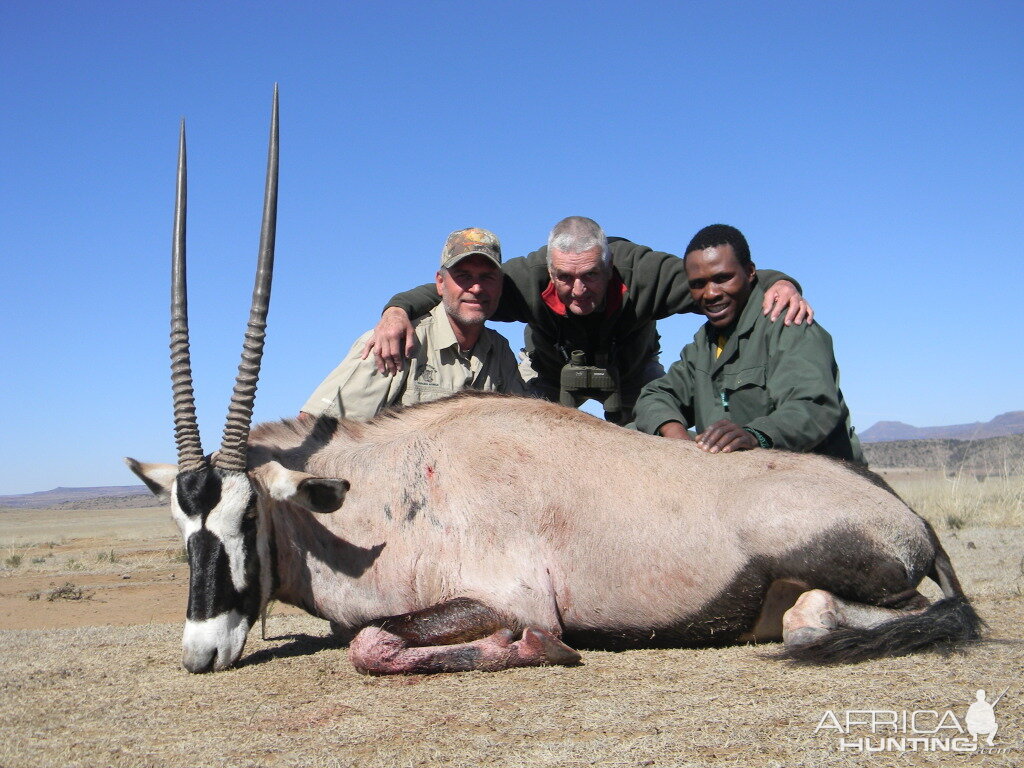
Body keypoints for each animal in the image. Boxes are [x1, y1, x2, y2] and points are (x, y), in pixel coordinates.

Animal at [123, 93, 978, 675]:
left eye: (245, 517)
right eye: (180, 525)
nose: (200, 652)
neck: (385, 490)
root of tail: (911, 520)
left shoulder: (504, 593)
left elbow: (373, 643)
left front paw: (534, 647)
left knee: (823, 615)